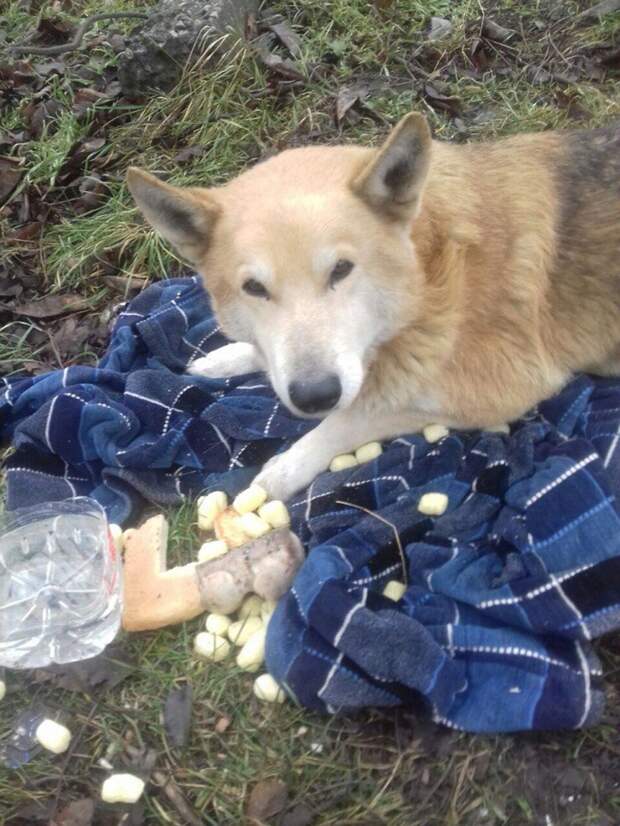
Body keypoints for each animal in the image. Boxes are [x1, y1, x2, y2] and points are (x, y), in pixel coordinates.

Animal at [127, 112, 620, 498]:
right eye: (254, 288)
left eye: (342, 270)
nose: (315, 395)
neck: (429, 275)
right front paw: (227, 358)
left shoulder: (502, 389)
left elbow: (352, 417)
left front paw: (286, 467)